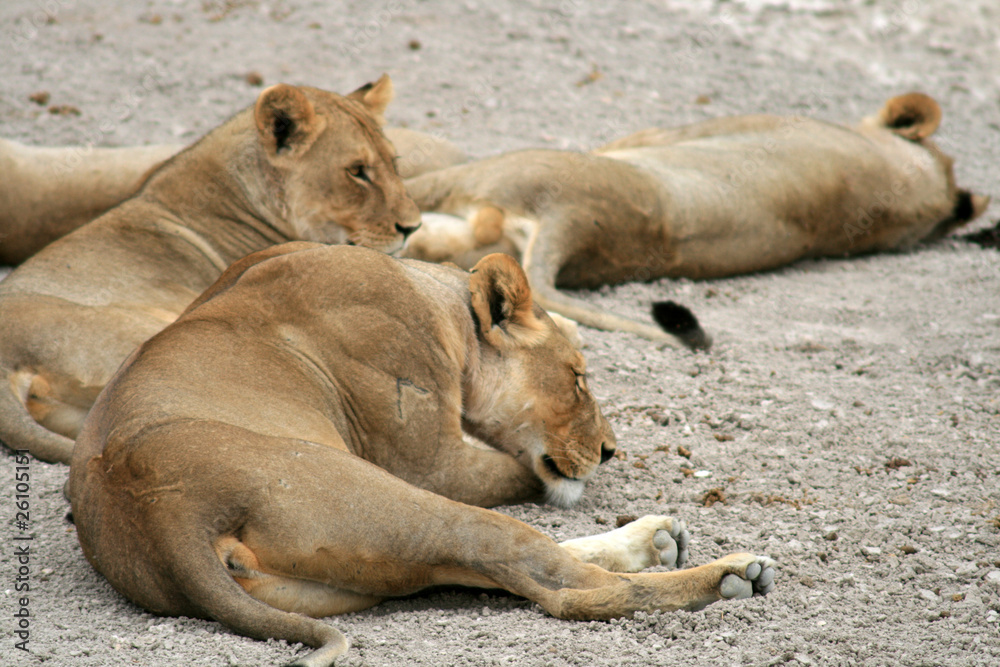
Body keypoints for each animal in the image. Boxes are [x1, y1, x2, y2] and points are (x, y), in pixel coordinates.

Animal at [68, 244, 777, 666]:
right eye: (578, 377)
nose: (608, 450)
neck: (439, 306)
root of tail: (165, 517)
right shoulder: (431, 462)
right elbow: (527, 475)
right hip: (392, 499)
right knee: (566, 590)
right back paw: (730, 574)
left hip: (365, 571)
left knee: (520, 566)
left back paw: (657, 540)